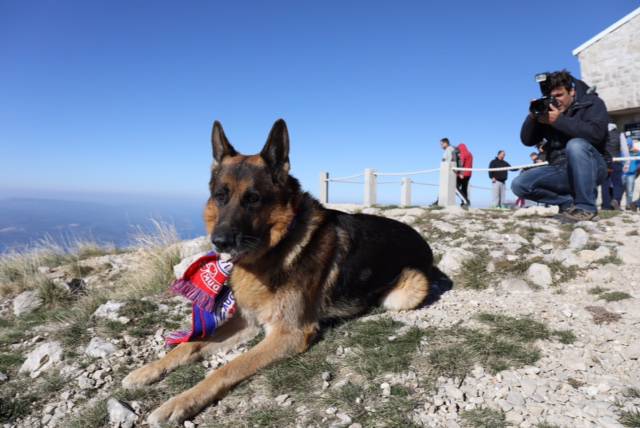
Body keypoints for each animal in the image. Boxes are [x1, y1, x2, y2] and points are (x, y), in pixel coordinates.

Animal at [122, 118, 432, 426]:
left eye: (253, 199)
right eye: (221, 196)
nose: (219, 242)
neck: (278, 247)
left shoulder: (288, 334)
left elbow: (227, 368)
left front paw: (178, 403)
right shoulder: (246, 321)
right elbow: (191, 345)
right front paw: (148, 371)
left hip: (407, 290)